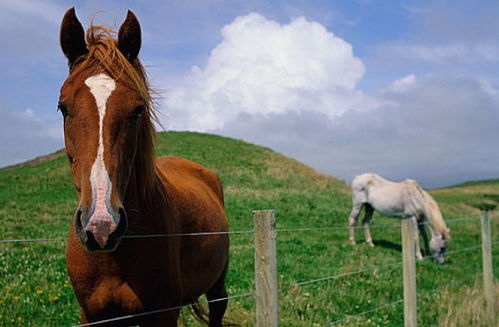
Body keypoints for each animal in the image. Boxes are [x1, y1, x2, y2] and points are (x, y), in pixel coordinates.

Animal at [58, 8, 229, 327]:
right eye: (63, 107)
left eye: (137, 109)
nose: (101, 225)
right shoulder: (92, 316)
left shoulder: (163, 315)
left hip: (217, 286)